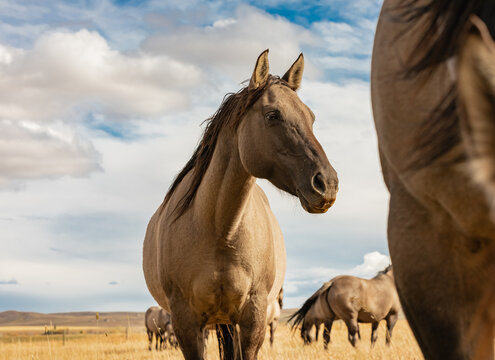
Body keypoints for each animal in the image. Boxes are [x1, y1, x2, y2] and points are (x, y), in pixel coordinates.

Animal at [141, 50, 340, 360]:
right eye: (273, 115)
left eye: (311, 117)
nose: (327, 184)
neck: (221, 229)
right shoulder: (186, 322)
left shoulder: (252, 318)